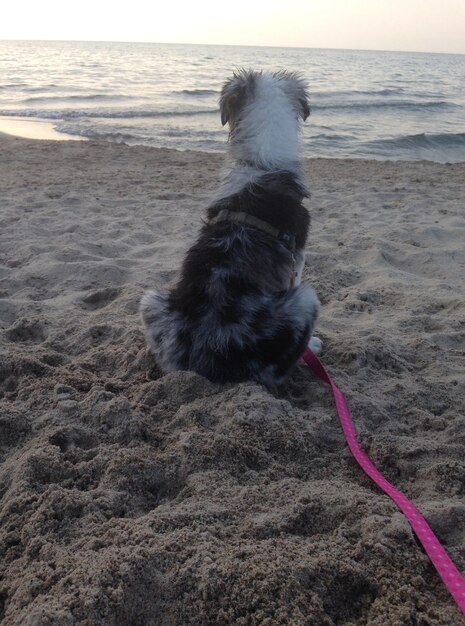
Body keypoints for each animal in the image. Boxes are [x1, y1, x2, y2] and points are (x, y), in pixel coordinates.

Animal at [140, 70, 320, 388]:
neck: (261, 163)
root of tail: (208, 363)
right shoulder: (297, 259)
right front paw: (314, 345)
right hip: (305, 302)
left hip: (151, 302)